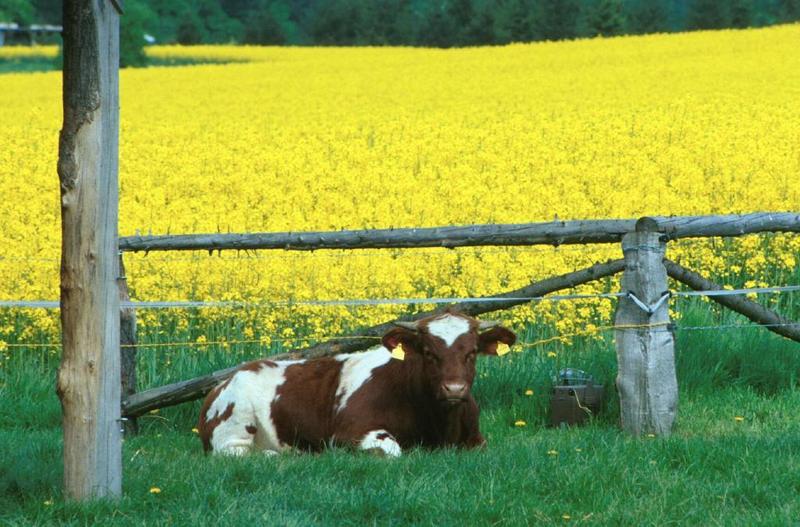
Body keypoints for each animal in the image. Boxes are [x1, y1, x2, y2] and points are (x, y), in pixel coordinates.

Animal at [197, 312, 516, 456]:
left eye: (471, 352)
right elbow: (393, 450)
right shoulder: (347, 434)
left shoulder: (477, 440)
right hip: (235, 427)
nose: (454, 389)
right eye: (428, 352)